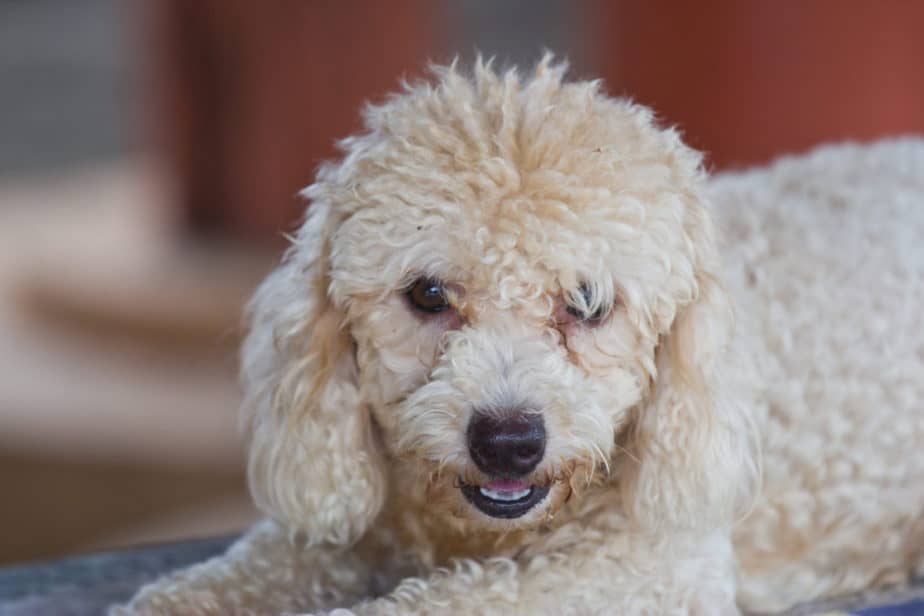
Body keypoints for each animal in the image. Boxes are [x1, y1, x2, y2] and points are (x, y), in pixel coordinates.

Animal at [115, 57, 924, 616]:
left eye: (590, 304)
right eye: (428, 294)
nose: (508, 442)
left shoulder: (648, 569)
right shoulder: (349, 528)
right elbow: (221, 577)